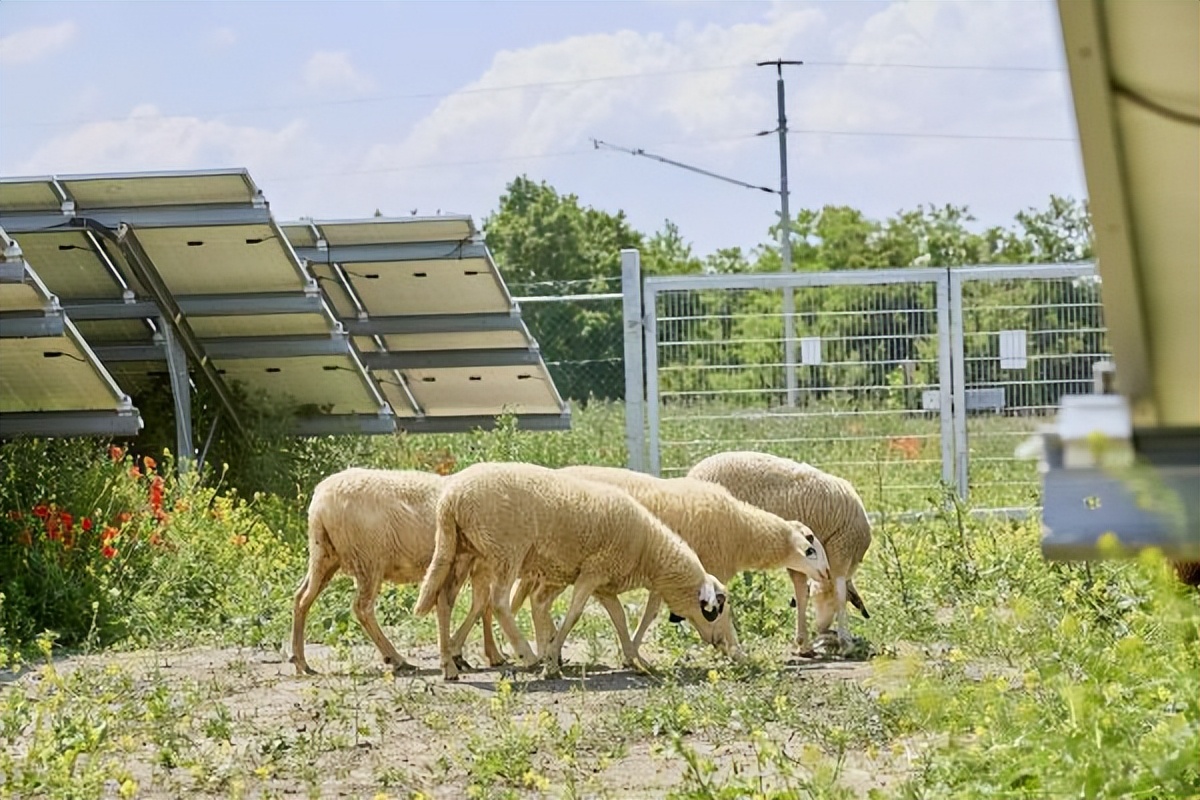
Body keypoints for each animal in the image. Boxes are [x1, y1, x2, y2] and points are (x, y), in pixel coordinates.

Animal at [290, 470, 501, 676]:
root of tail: (319, 501)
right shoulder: (472, 561)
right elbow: (480, 604)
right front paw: (467, 653)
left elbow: (484, 605)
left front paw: (491, 654)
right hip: (368, 559)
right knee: (362, 608)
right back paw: (397, 659)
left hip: (324, 554)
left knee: (302, 597)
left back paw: (301, 662)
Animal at [410, 460, 739, 681]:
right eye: (718, 609)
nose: (732, 648)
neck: (648, 551)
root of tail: (450, 499)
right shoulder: (593, 571)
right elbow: (574, 614)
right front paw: (551, 660)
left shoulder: (605, 584)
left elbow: (620, 620)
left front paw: (636, 659)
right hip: (505, 550)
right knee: (499, 602)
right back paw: (527, 655)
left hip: (460, 550)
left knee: (444, 601)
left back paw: (449, 664)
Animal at [554, 465, 830, 662]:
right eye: (810, 550)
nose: (827, 573)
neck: (741, 532)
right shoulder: (701, 572)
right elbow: (725, 611)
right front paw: (737, 651)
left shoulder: (668, 575)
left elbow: (650, 613)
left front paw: (632, 649)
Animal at [686, 453, 873, 652]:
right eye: (823, 602)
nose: (821, 628)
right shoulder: (839, 551)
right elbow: (836, 593)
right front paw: (844, 642)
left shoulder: (805, 560)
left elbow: (801, 592)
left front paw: (803, 642)